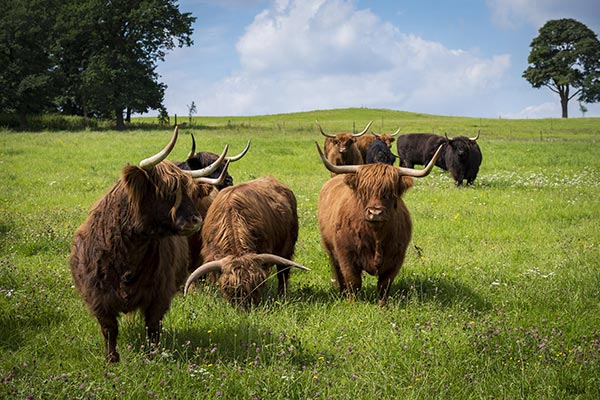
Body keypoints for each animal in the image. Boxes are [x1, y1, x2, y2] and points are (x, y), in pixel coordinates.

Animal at [69, 127, 229, 362]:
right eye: (168, 192)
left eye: (188, 191)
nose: (196, 220)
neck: (127, 253)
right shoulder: (97, 295)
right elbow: (109, 329)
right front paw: (111, 360)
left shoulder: (159, 294)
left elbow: (152, 327)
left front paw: (152, 356)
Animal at [185, 177, 310, 308]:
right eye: (228, 289)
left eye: (257, 286)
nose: (245, 309)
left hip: (288, 246)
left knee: (283, 272)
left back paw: (282, 296)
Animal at [316, 142, 442, 304]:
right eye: (364, 192)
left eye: (389, 193)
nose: (375, 213)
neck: (376, 236)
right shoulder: (346, 255)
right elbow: (353, 281)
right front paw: (353, 304)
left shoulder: (396, 258)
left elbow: (384, 285)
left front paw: (383, 305)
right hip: (330, 249)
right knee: (338, 273)